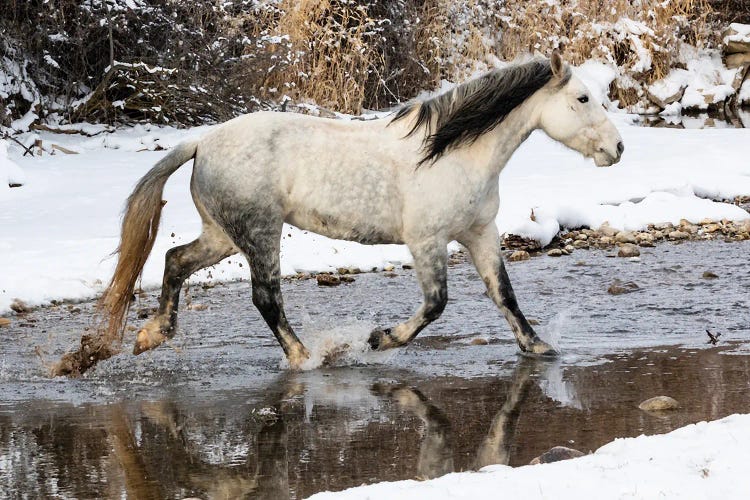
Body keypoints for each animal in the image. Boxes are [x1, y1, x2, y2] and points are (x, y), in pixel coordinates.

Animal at [57, 52, 624, 376]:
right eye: (582, 98)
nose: (617, 149)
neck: (451, 152)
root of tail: (201, 141)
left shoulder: (479, 232)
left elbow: (503, 294)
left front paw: (540, 348)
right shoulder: (427, 240)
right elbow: (436, 305)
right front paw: (378, 339)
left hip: (222, 234)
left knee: (175, 260)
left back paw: (151, 336)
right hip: (259, 232)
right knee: (266, 297)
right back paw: (306, 358)